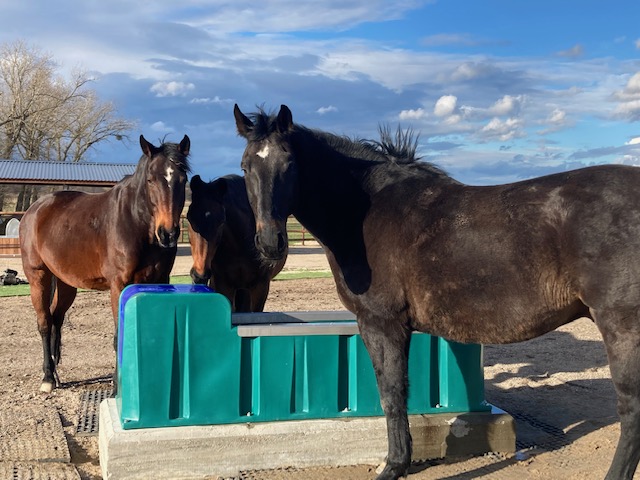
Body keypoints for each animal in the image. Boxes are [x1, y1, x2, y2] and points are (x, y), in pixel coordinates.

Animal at [19, 133, 190, 392]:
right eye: (150, 179)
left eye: (183, 179)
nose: (168, 234)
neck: (135, 222)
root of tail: (35, 209)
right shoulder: (119, 285)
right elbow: (120, 335)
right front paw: (119, 386)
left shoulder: (160, 281)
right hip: (38, 277)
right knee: (45, 322)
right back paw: (48, 377)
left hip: (66, 283)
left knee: (56, 317)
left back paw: (56, 374)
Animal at [232, 105, 640, 480]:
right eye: (246, 166)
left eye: (289, 163)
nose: (270, 244)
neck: (366, 214)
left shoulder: (382, 324)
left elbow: (392, 395)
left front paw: (394, 466)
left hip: (622, 327)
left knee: (631, 413)